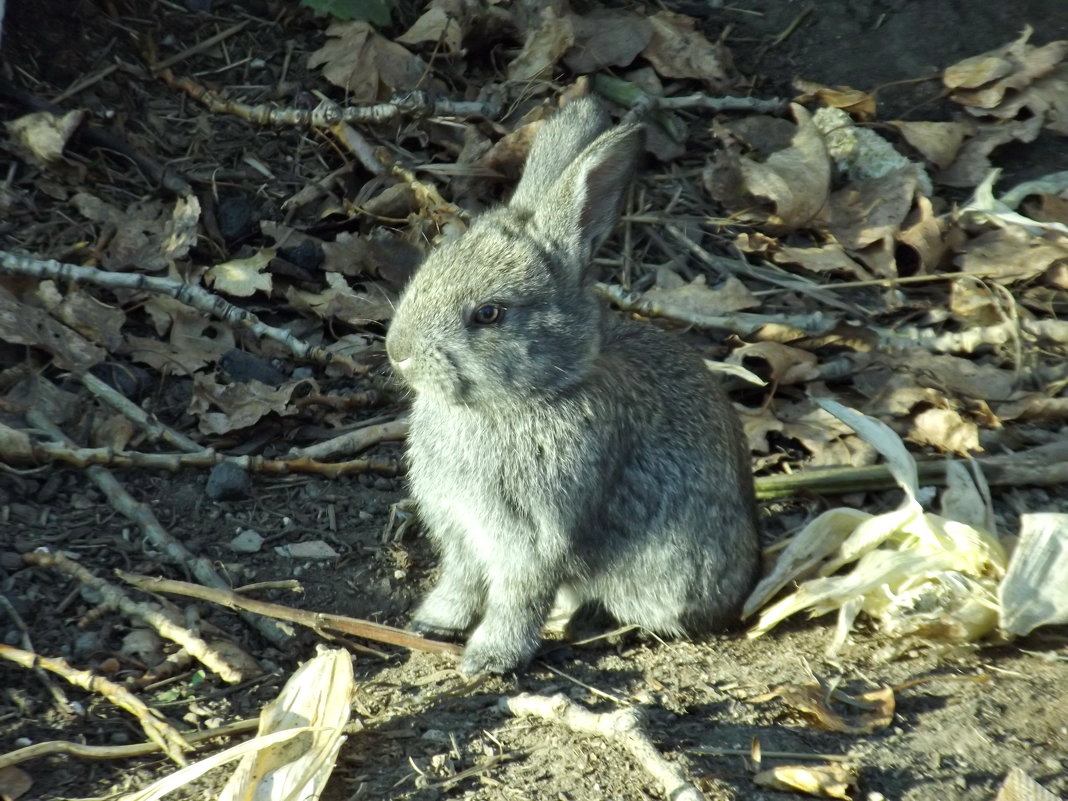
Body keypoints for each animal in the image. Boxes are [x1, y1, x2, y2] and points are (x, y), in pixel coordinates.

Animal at [384, 98, 760, 679]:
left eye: (488, 314)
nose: (397, 351)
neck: (528, 399)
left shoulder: (533, 537)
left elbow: (518, 598)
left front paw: (489, 659)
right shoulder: (461, 531)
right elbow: (460, 581)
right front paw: (433, 623)